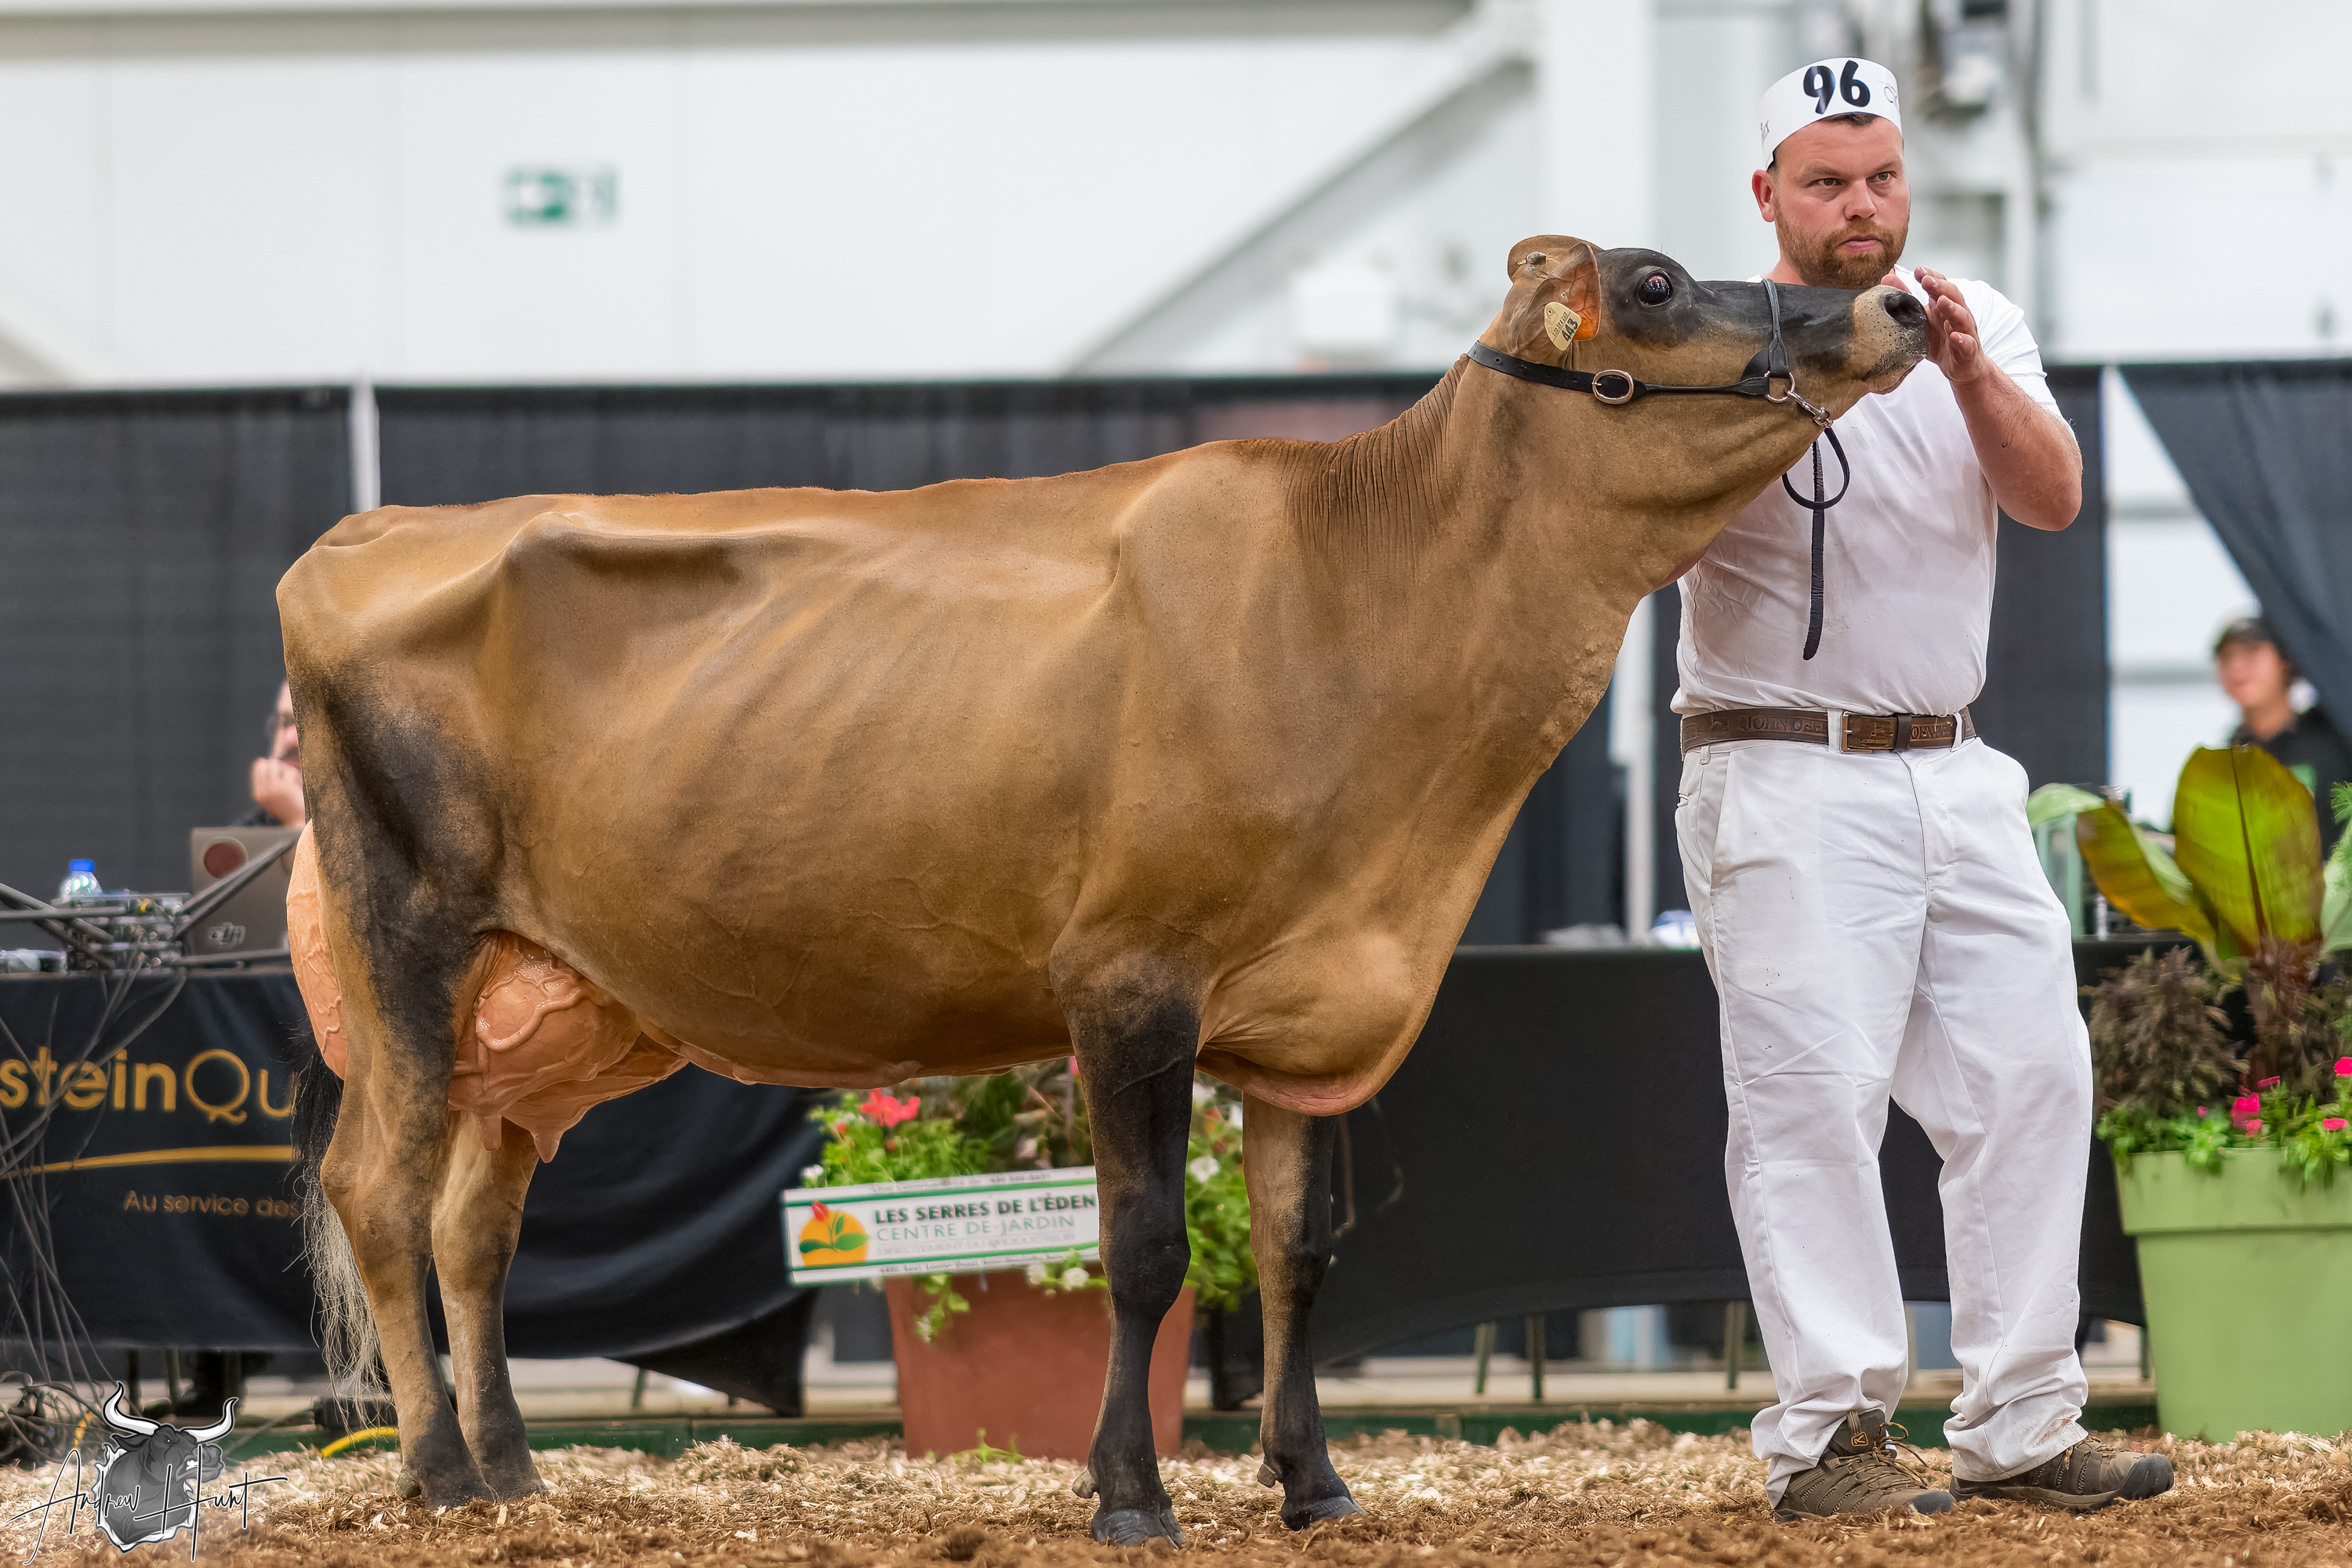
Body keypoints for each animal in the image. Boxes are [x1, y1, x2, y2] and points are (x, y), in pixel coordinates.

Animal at [280, 235, 1924, 1540]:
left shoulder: (1296, 1007)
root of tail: (372, 531)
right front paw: (1130, 1493)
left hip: (550, 1011)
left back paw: (508, 1474)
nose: (1897, 301)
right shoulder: (1131, 978)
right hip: (408, 939)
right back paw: (436, 1470)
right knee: (378, 1189)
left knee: (471, 1220)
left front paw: (1313, 1484)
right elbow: (1141, 1251)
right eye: (1654, 285)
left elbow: (1296, 1252)